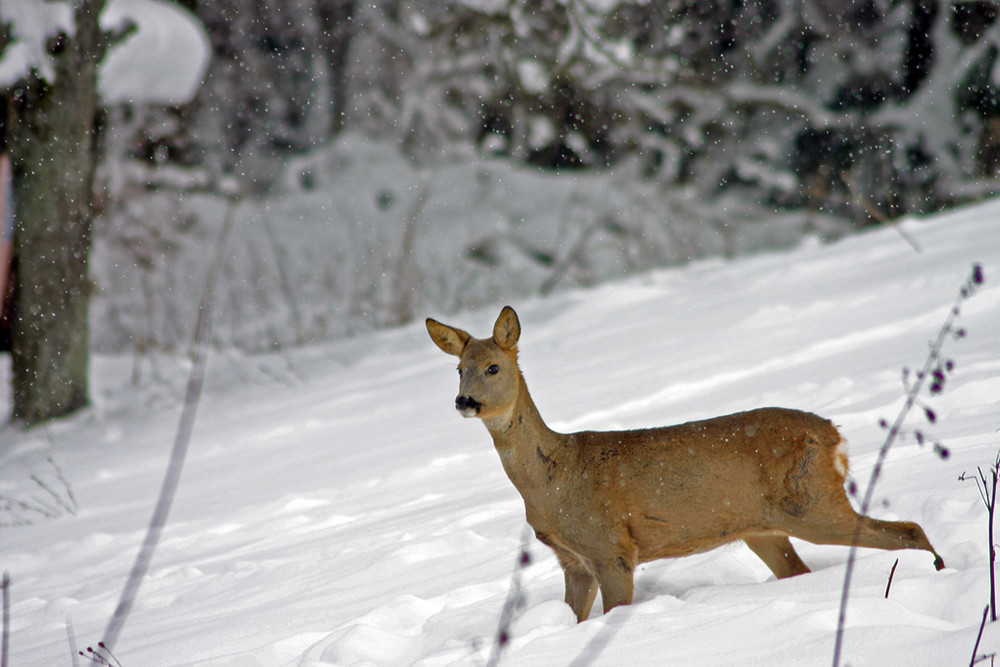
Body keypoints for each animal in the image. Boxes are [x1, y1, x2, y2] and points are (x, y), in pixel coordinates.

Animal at [428, 308, 944, 620]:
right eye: (458, 369)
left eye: (493, 367)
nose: (464, 401)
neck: (552, 477)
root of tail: (835, 435)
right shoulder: (573, 560)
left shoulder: (611, 547)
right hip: (763, 527)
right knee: (803, 568)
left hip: (811, 501)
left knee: (907, 528)